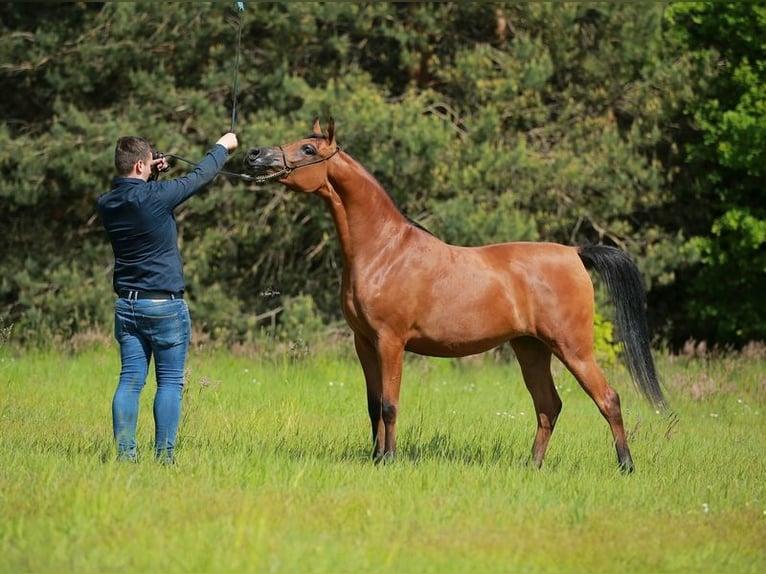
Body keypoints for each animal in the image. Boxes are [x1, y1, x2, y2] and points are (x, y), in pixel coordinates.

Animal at [244, 118, 667, 472]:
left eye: (308, 149)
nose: (255, 155)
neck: (384, 250)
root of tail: (574, 252)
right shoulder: (364, 342)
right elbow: (372, 405)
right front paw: (376, 457)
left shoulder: (390, 341)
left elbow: (390, 404)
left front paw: (390, 460)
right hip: (531, 348)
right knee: (549, 406)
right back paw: (532, 467)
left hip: (573, 348)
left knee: (608, 399)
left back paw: (626, 466)